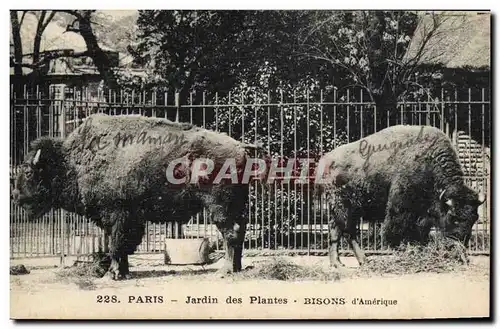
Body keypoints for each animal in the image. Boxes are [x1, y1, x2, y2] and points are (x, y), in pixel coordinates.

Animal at [11, 113, 262, 280]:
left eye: (29, 172)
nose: (16, 196)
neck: (69, 161)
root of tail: (240, 148)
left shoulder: (118, 214)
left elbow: (117, 244)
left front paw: (112, 274)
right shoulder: (125, 219)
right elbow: (122, 245)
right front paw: (122, 271)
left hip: (219, 207)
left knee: (231, 232)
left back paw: (225, 270)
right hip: (235, 206)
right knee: (240, 231)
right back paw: (236, 268)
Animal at [316, 125, 484, 266]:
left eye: (474, 219)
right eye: (453, 217)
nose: (460, 242)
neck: (429, 162)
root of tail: (326, 160)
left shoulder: (424, 215)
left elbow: (420, 233)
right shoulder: (401, 208)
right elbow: (397, 229)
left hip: (345, 209)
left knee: (335, 230)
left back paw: (339, 263)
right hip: (345, 207)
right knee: (348, 232)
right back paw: (361, 261)